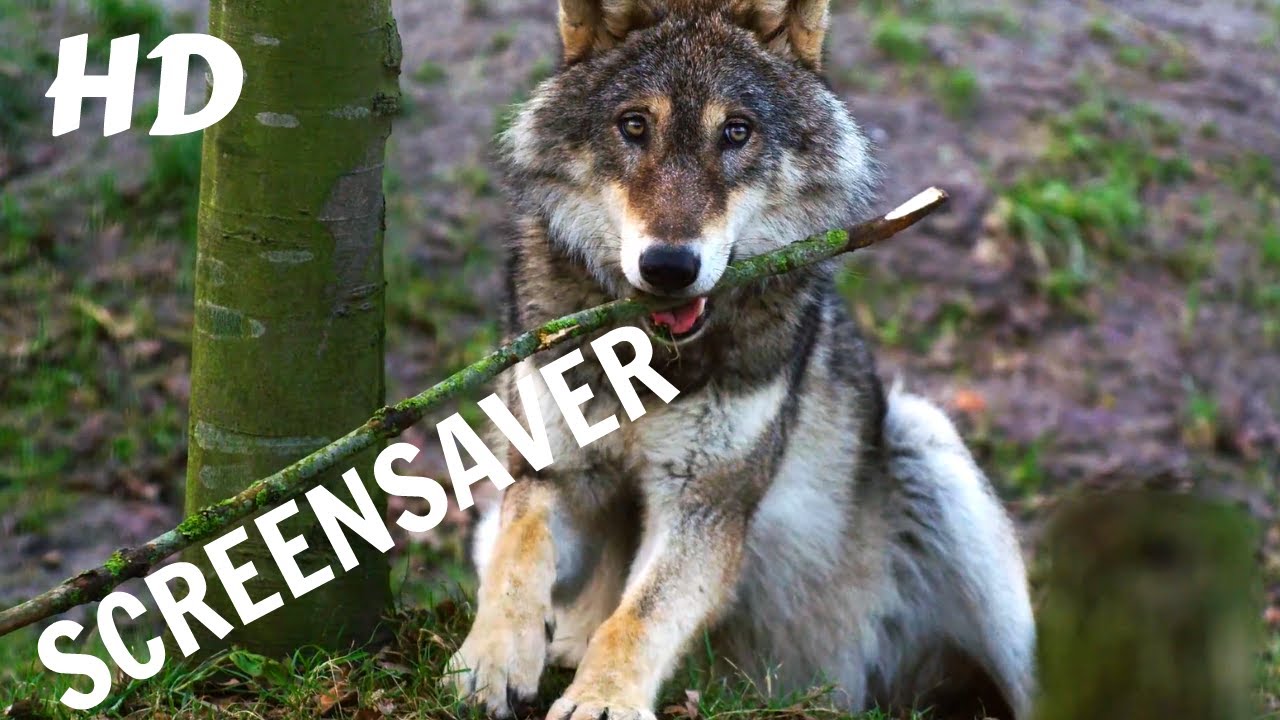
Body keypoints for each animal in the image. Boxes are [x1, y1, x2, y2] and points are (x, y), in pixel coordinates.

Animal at [444, 1, 1036, 718]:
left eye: (736, 131)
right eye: (634, 126)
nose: (670, 266)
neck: (654, 363)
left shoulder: (707, 504)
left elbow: (639, 616)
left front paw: (604, 700)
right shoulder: (552, 471)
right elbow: (520, 551)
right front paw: (491, 661)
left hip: (930, 441)